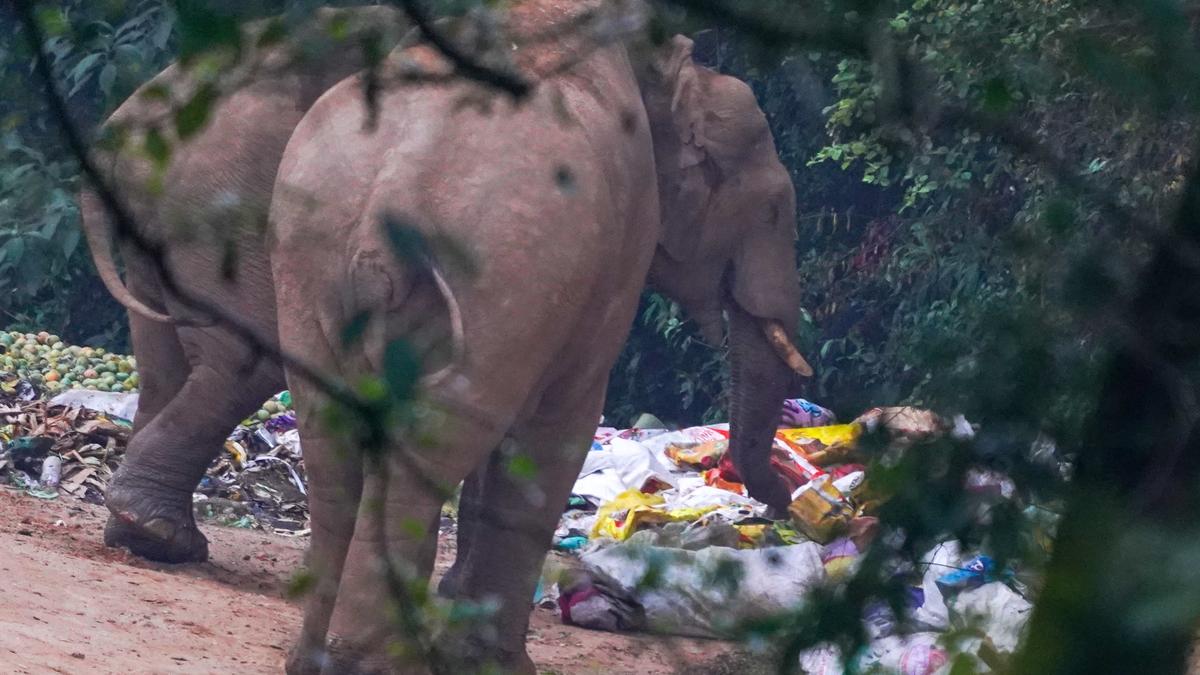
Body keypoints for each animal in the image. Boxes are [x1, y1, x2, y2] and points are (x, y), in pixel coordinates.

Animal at [267, 1, 812, 672]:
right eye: (775, 211)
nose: (782, 506)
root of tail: (387, 195)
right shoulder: (603, 260)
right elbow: (559, 428)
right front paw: (496, 664)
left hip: (308, 260)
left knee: (334, 437)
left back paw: (318, 660)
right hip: (505, 264)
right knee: (434, 442)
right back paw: (376, 662)